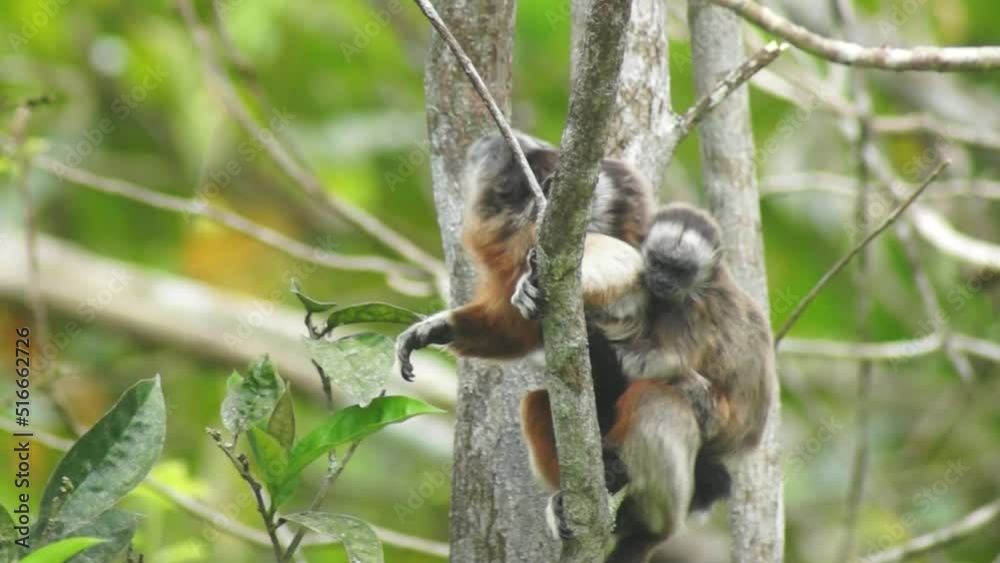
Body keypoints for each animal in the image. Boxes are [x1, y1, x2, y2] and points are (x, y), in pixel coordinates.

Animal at [394, 132, 772, 562]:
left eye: (528, 163)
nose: (499, 143)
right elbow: (515, 332)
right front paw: (436, 329)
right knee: (539, 402)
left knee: (656, 400)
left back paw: (647, 529)